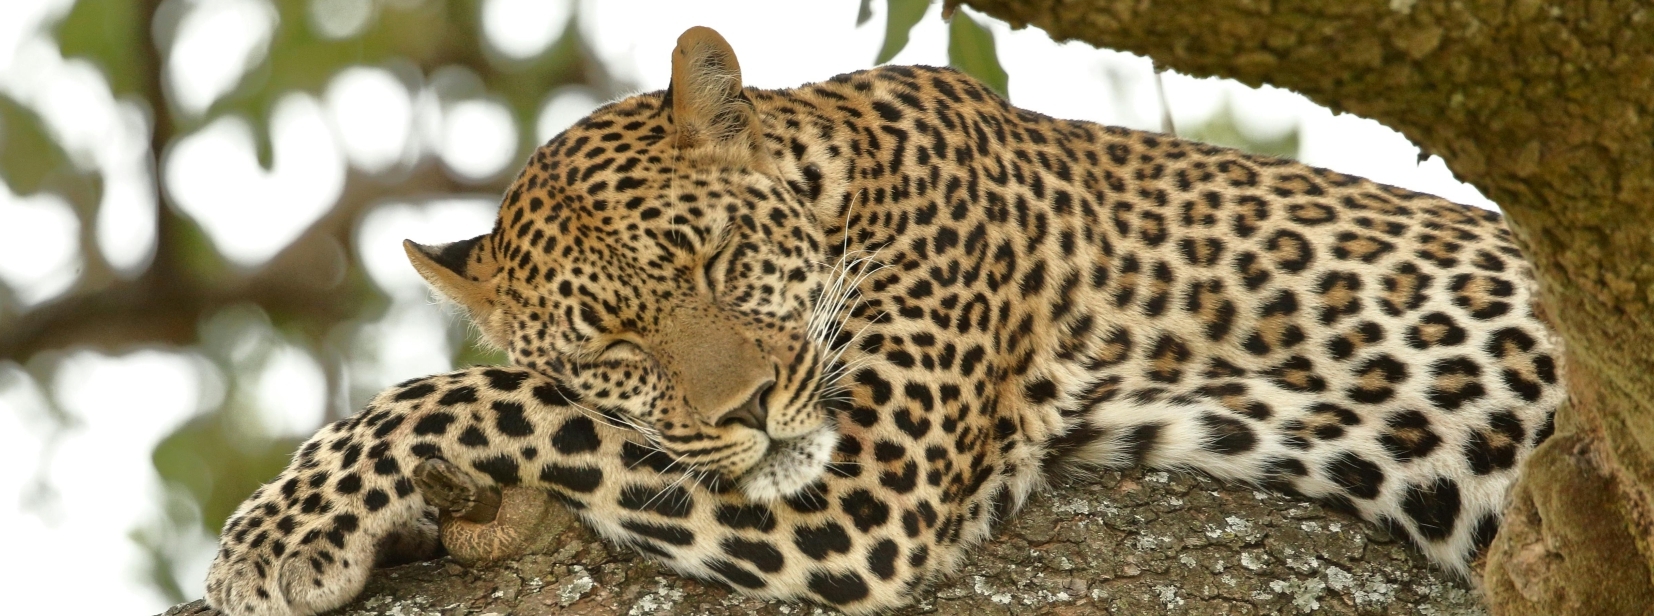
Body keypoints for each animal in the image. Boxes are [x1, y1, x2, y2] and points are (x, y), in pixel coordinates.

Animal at [203, 26, 1563, 616]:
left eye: (715, 260)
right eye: (613, 345)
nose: (749, 409)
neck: (845, 174)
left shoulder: (867, 493)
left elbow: (478, 394)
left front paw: (274, 532)